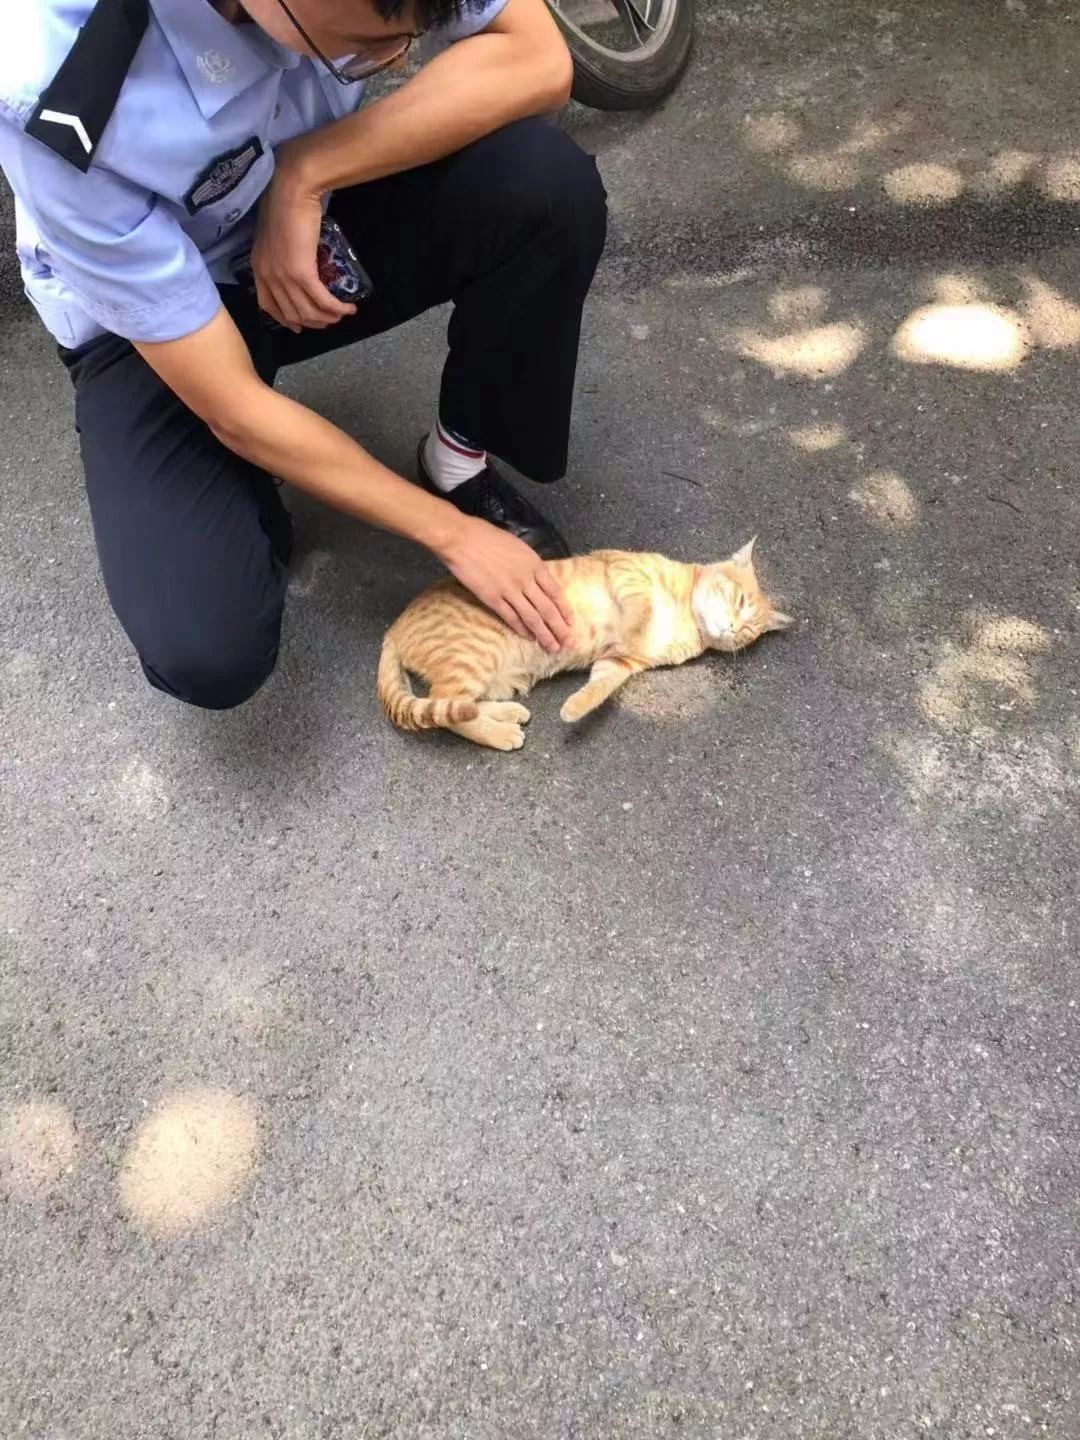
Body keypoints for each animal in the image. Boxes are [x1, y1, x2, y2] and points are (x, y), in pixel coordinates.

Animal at [380, 535, 794, 748]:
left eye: (748, 631)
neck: (688, 619)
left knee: (457, 706)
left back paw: (507, 716)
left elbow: (598, 688)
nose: (732, 628)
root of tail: (394, 628)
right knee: (445, 710)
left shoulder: (622, 663)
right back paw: (500, 733)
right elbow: (639, 610)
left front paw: (574, 709)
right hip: (476, 656)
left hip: (492, 676)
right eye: (738, 600)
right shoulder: (628, 574)